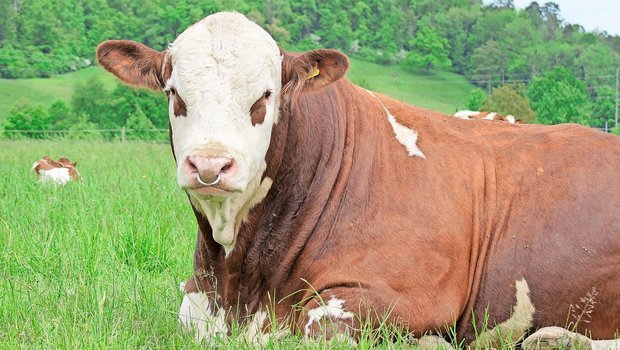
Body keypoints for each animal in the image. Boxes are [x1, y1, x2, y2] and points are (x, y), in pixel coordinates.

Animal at [94, 12, 616, 348]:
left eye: (265, 95)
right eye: (174, 93)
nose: (209, 165)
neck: (242, 280)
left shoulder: (408, 297)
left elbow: (315, 328)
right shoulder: (198, 298)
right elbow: (188, 321)